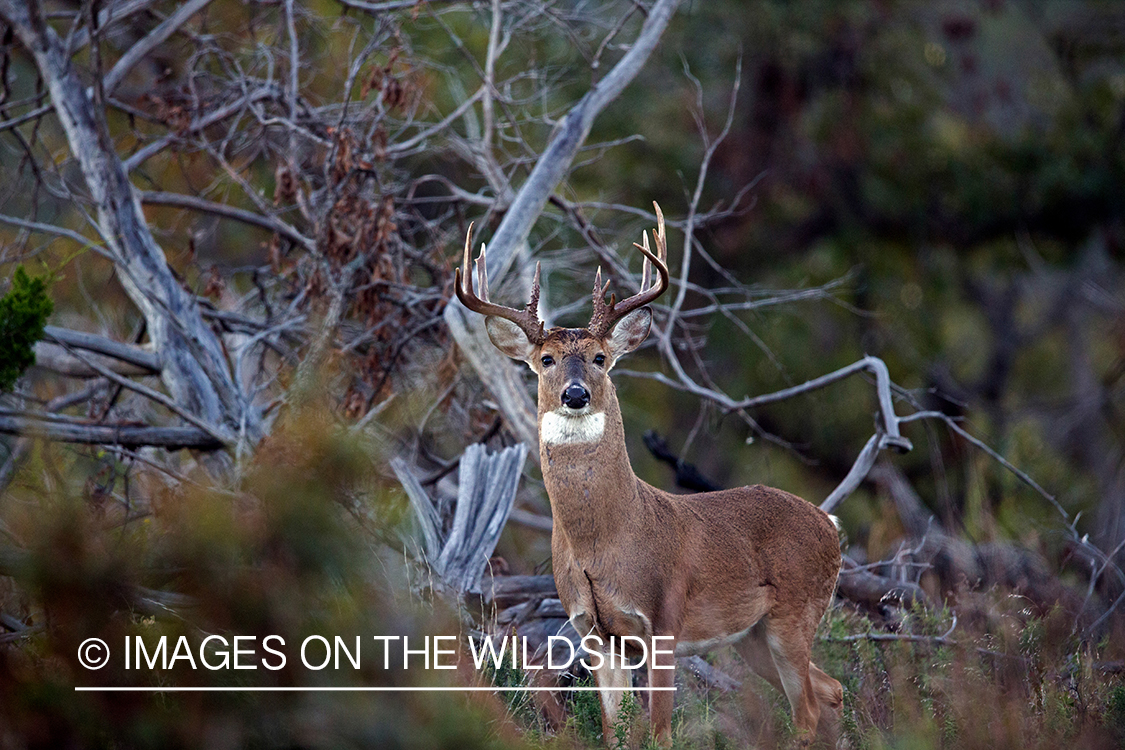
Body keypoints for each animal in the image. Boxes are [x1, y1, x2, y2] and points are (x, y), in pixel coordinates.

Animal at [452, 202, 841, 746]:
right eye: (545, 359)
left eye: (599, 358)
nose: (575, 394)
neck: (607, 540)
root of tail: (830, 524)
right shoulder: (594, 634)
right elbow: (612, 731)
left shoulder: (665, 620)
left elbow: (660, 733)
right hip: (753, 635)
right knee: (831, 691)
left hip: (796, 611)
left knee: (806, 709)